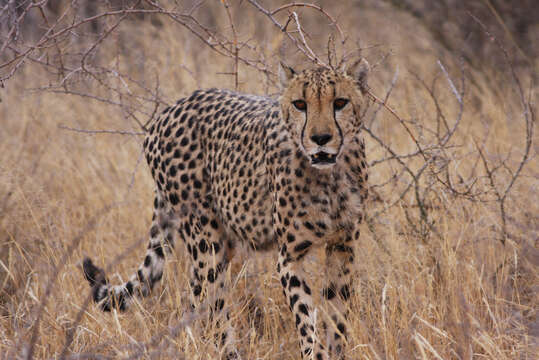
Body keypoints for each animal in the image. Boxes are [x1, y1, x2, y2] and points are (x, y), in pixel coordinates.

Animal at [83, 59, 372, 360]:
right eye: (300, 104)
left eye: (340, 102)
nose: (321, 138)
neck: (329, 175)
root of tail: (171, 108)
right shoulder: (289, 257)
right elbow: (306, 319)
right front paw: (315, 352)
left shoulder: (342, 247)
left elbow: (336, 317)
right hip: (206, 241)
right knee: (213, 306)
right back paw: (224, 351)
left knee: (194, 298)